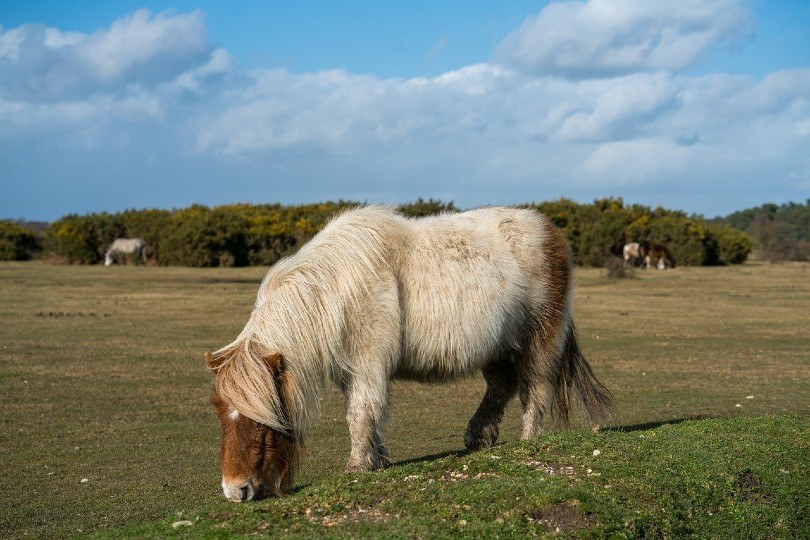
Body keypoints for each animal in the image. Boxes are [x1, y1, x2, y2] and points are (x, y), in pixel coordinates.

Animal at [204, 206, 612, 502]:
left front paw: (356, 467)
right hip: (499, 347)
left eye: (262, 419)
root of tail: (550, 231)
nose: (234, 491)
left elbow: (360, 413)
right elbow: (367, 412)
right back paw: (478, 437)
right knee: (503, 386)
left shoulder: (368, 364)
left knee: (536, 388)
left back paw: (528, 441)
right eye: (221, 413)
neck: (335, 290)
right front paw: (378, 460)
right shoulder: (353, 371)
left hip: (539, 337)